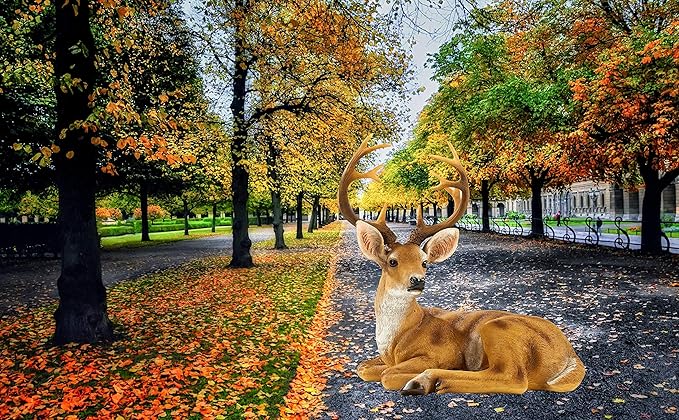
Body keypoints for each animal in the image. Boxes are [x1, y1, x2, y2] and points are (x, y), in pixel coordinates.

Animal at [336, 137, 585, 395]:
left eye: (424, 262)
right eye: (392, 261)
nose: (417, 280)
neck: (395, 341)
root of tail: (571, 354)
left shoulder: (441, 352)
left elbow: (386, 374)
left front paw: (412, 376)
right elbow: (363, 367)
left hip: (497, 328)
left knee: (514, 378)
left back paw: (424, 380)